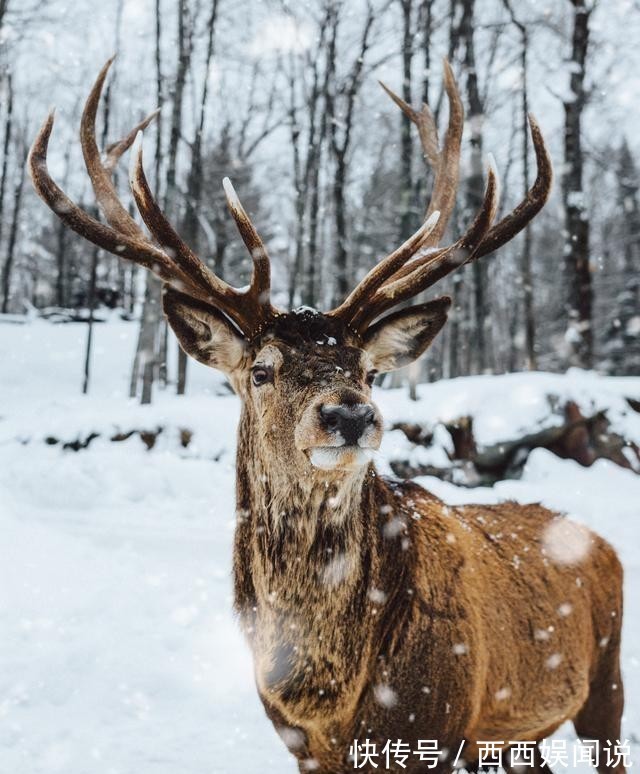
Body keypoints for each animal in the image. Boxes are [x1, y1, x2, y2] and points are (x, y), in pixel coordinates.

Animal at [30, 60, 624, 774]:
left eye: (368, 370)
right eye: (261, 370)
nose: (350, 412)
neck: (325, 697)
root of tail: (600, 541)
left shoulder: (439, 723)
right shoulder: (300, 745)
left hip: (606, 680)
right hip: (517, 735)